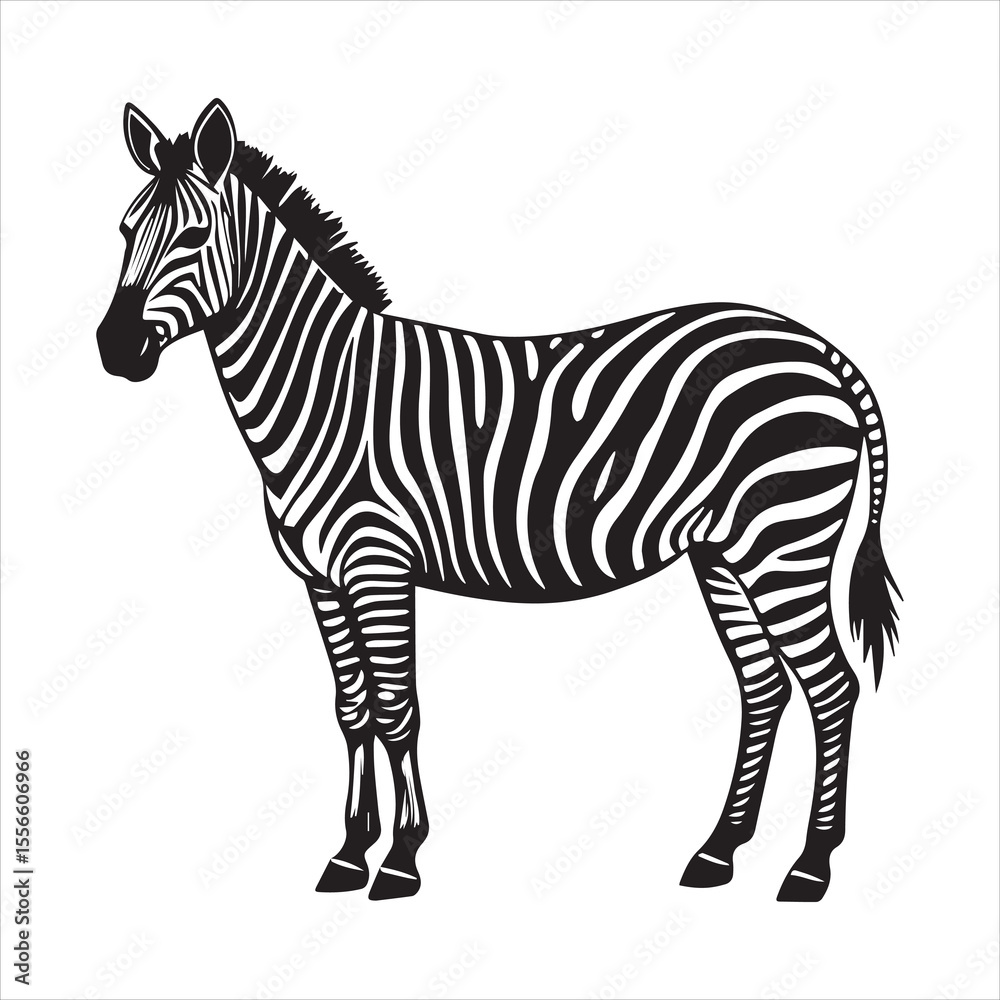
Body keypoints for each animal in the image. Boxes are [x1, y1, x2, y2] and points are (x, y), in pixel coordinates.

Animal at [97, 99, 900, 902]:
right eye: (126, 231)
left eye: (194, 236)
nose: (114, 348)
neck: (324, 390)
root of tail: (816, 346)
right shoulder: (321, 580)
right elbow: (353, 711)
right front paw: (349, 852)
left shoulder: (378, 566)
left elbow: (398, 709)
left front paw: (401, 859)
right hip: (724, 554)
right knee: (764, 686)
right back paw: (718, 851)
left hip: (783, 544)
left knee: (831, 687)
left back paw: (811, 865)